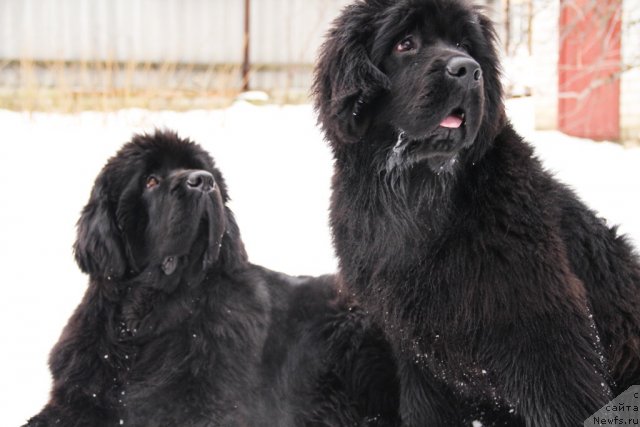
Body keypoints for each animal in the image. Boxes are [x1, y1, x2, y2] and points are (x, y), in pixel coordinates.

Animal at [23, 131, 400, 427]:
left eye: (206, 172)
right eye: (150, 180)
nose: (203, 180)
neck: (147, 321)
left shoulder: (207, 407)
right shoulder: (77, 396)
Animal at [314, 0, 640, 427]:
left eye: (463, 45)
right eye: (405, 43)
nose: (468, 70)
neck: (417, 196)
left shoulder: (544, 333)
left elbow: (563, 401)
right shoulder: (416, 353)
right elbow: (424, 407)